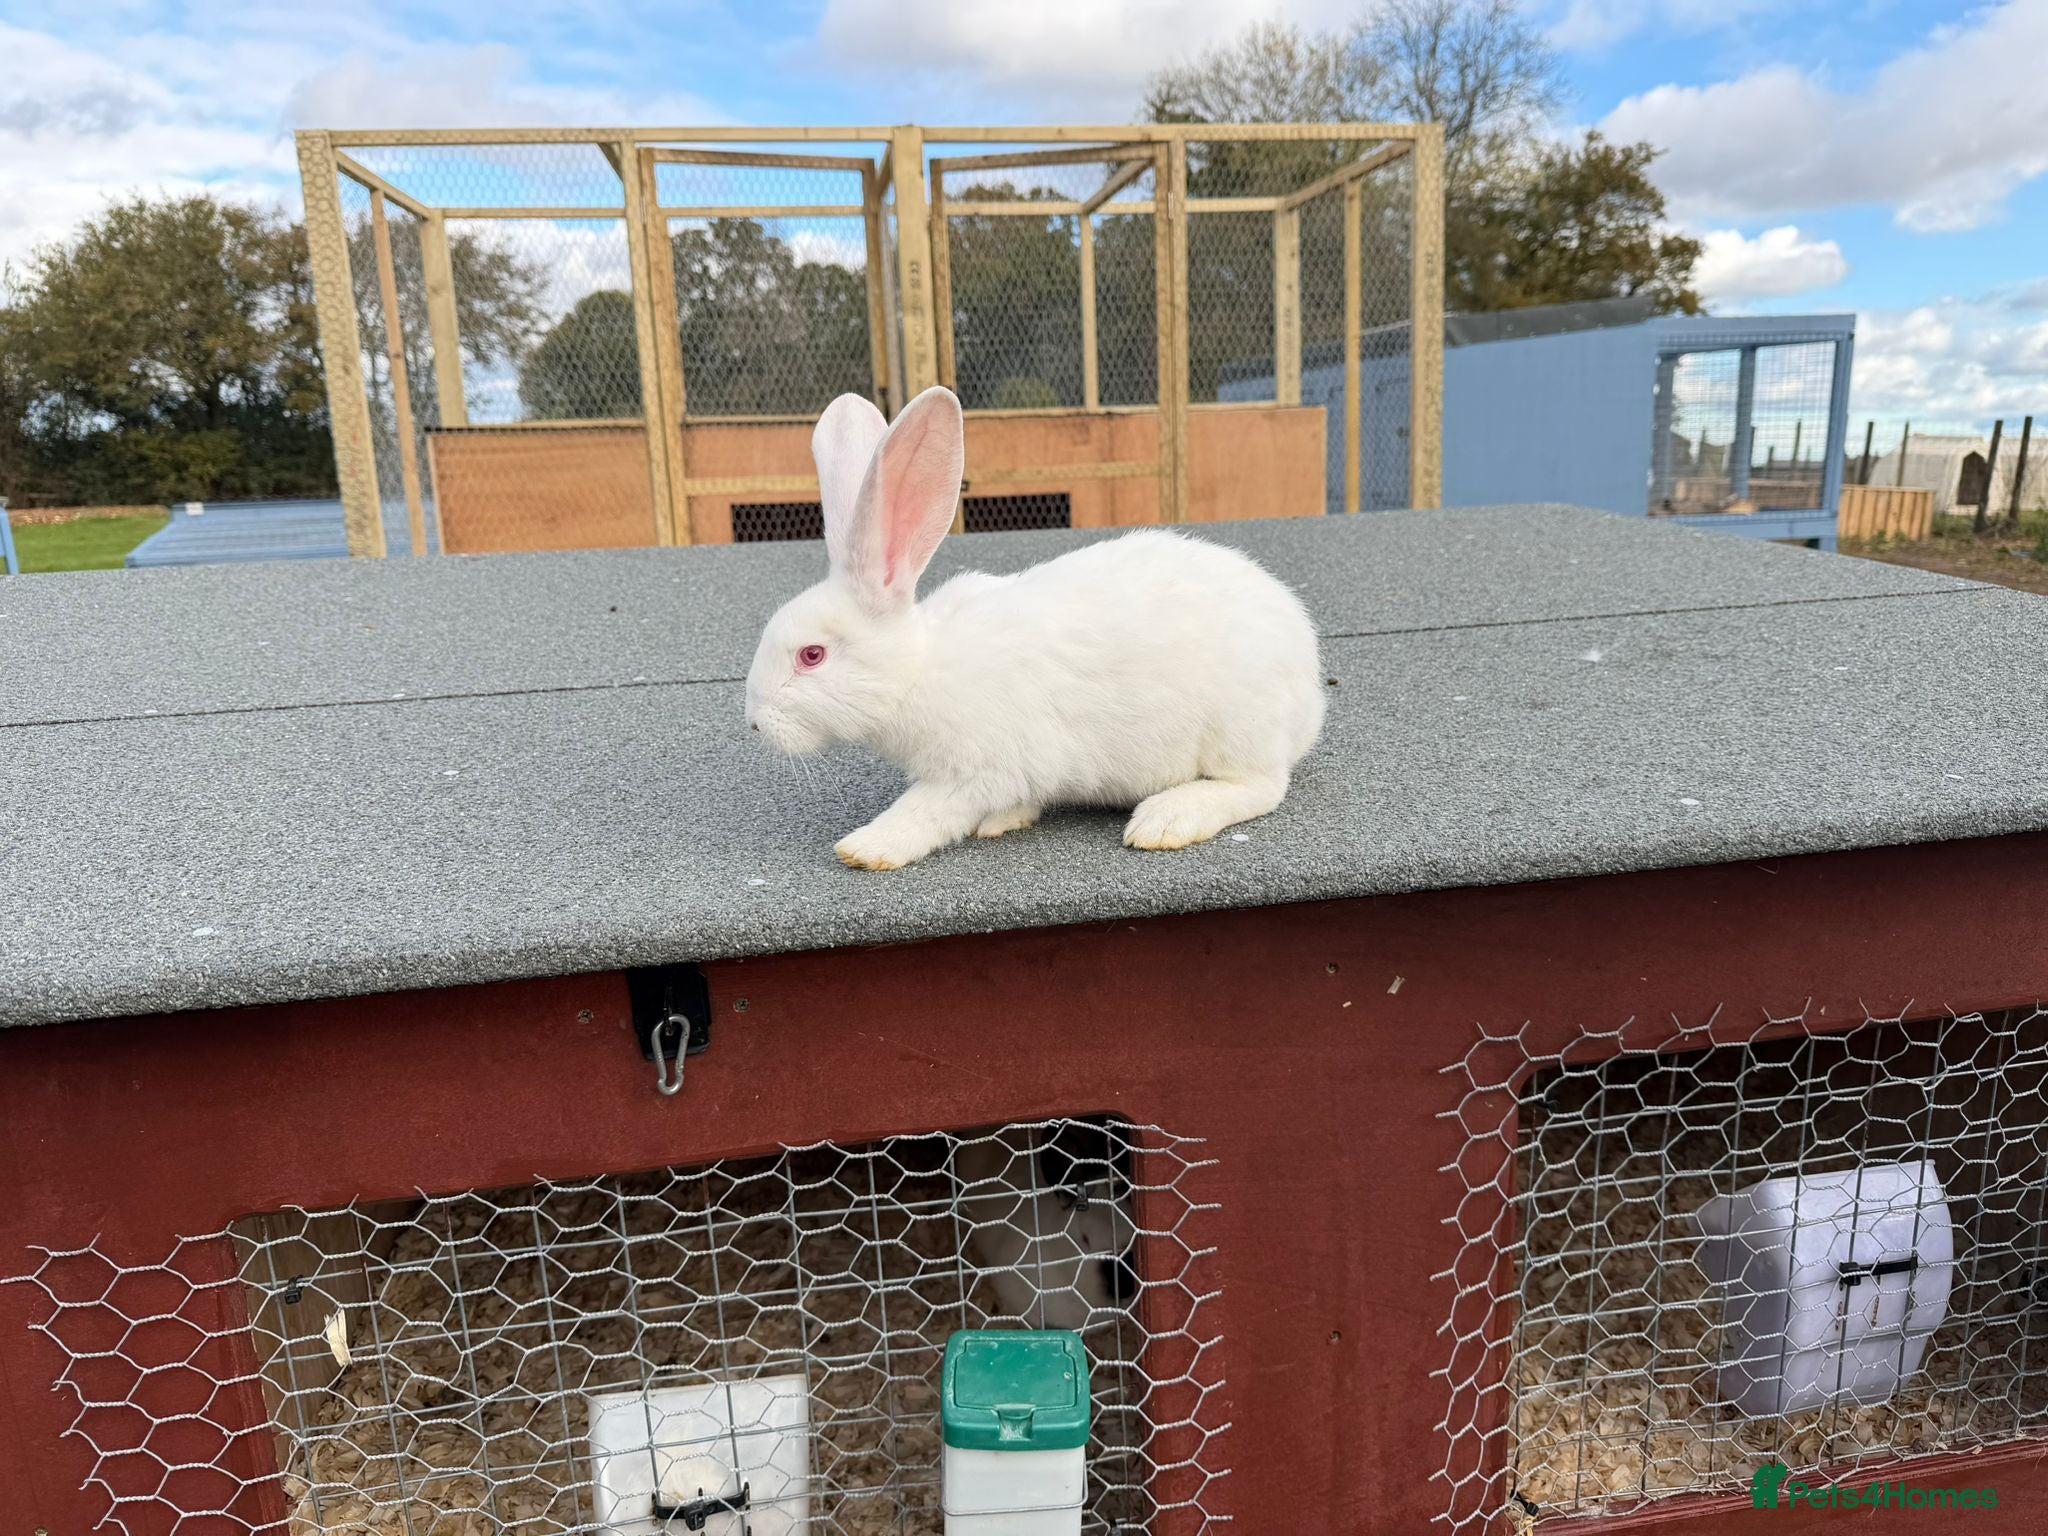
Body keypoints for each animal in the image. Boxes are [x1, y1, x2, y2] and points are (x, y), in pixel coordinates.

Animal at [744, 385, 1325, 870]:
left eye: (811, 655)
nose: (753, 723)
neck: (918, 672)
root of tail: (1310, 690)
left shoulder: (972, 772)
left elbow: (925, 813)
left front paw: (866, 849)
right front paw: (1006, 820)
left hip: (1239, 728)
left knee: (1261, 786)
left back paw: (1166, 820)